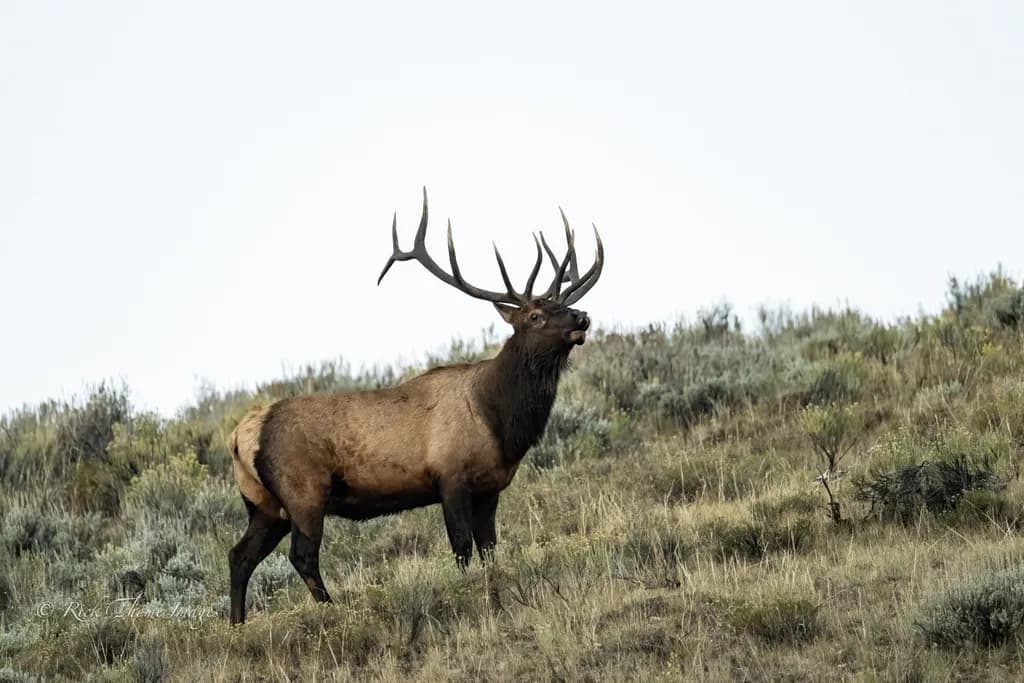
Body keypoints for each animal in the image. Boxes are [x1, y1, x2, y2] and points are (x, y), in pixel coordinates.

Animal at [227, 188, 603, 624]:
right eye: (536, 315)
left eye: (564, 304)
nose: (581, 316)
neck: (498, 420)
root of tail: (239, 436)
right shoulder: (450, 477)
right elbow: (462, 548)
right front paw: (468, 602)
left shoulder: (490, 487)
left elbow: (490, 550)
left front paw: (498, 604)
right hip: (303, 491)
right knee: (302, 556)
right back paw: (340, 614)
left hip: (264, 504)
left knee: (239, 556)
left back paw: (236, 628)